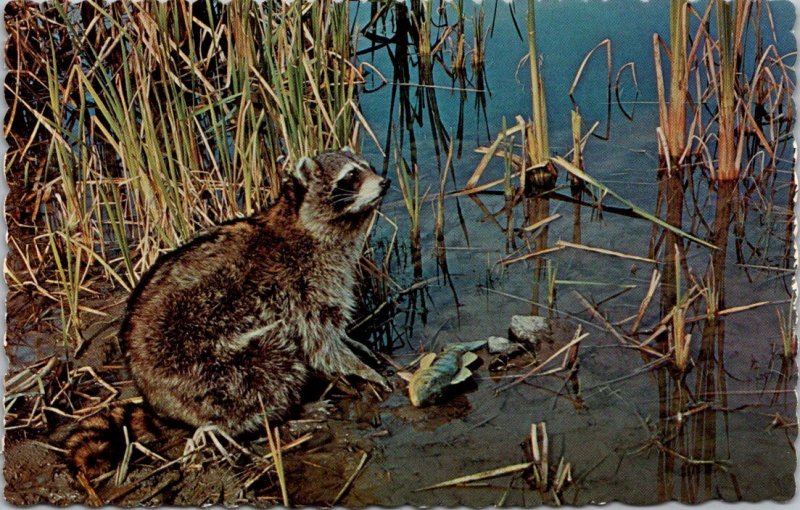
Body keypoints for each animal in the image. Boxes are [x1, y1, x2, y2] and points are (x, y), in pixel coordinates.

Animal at [68, 147, 390, 478]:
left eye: (368, 167)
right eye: (350, 177)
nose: (385, 182)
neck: (299, 221)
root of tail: (157, 401)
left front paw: (355, 344)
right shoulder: (304, 283)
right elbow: (320, 343)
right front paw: (360, 368)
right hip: (204, 372)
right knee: (273, 363)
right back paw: (286, 413)